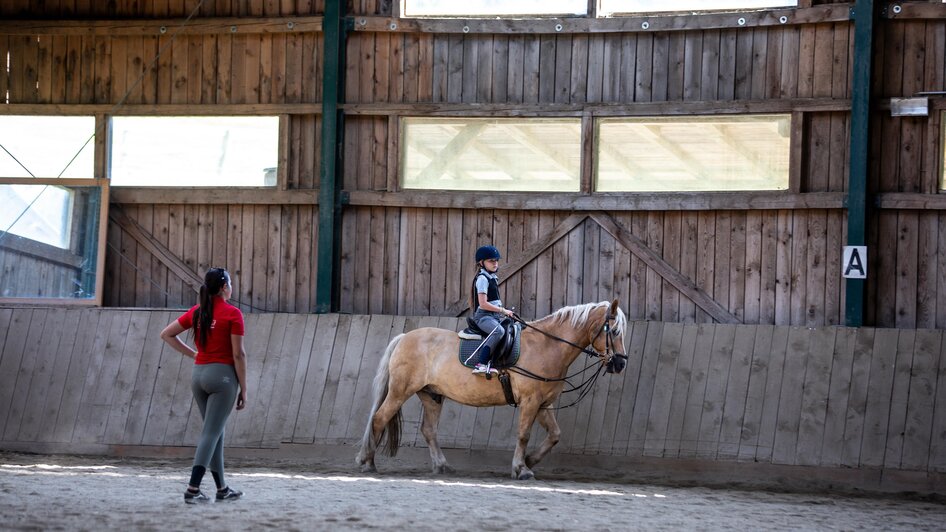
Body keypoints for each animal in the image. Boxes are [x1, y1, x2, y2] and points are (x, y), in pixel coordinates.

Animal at [354, 302, 628, 480]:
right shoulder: (530, 401)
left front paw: (530, 460)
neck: (547, 345)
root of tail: (404, 337)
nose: (620, 363)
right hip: (400, 391)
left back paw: (442, 466)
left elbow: (554, 435)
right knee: (379, 418)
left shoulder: (543, 403)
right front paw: (521, 468)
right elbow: (523, 435)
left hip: (431, 395)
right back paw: (368, 463)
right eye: (614, 331)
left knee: (428, 430)